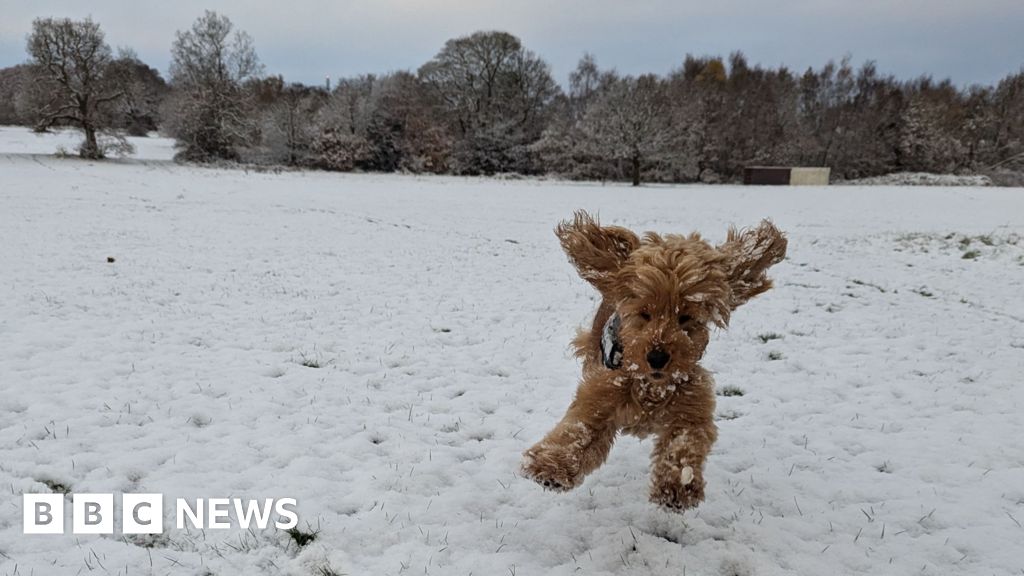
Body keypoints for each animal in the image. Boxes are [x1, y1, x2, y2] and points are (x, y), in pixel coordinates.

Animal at [524, 210, 786, 506]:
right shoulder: (600, 393)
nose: (658, 357)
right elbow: (579, 429)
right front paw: (551, 467)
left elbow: (685, 442)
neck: (653, 385)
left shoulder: (692, 406)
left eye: (687, 318)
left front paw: (677, 486)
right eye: (644, 313)